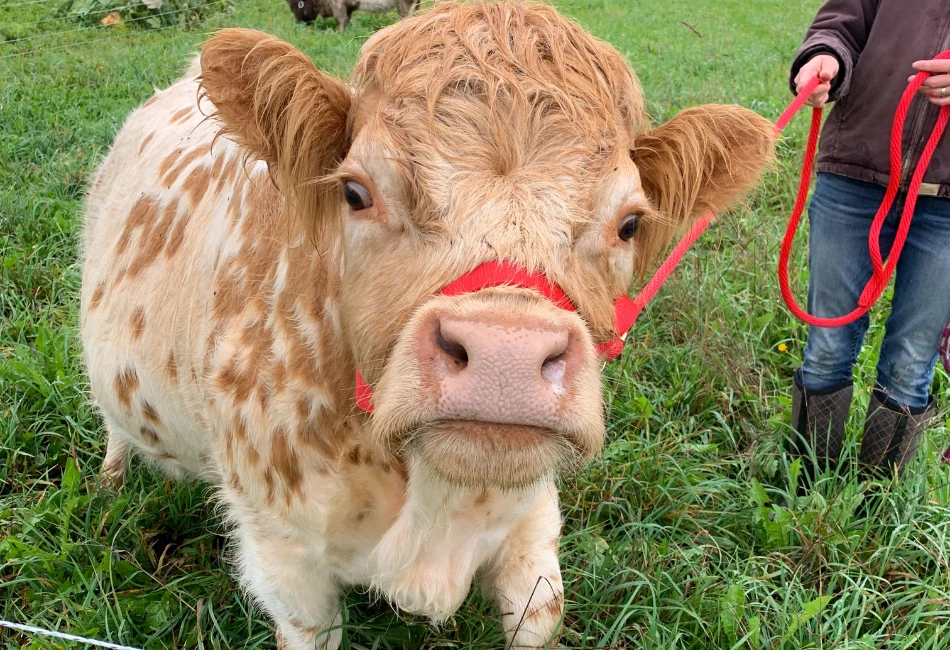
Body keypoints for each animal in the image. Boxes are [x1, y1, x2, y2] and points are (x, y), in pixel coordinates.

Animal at [79, 2, 774, 647]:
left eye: (629, 222)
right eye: (356, 192)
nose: (504, 358)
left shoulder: (532, 524)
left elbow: (539, 613)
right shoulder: (286, 566)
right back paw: (110, 483)